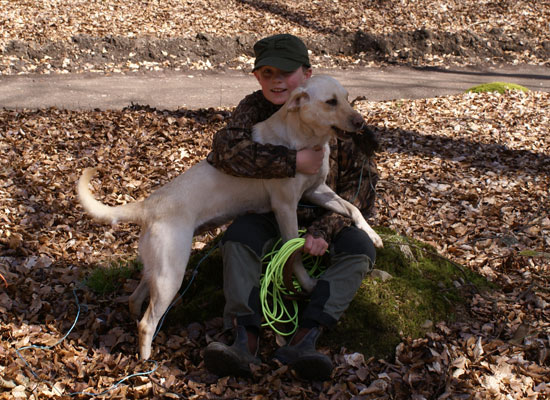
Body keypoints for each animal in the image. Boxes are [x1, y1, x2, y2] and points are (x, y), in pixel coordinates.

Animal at [78, 76, 384, 360]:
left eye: (347, 98)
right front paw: (307, 283)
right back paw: (146, 362)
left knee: (135, 299)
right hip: (171, 274)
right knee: (146, 323)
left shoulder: (318, 191)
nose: (361, 123)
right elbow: (294, 254)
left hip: (158, 270)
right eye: (331, 102)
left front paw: (371, 233)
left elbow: (353, 208)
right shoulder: (285, 206)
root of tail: (148, 204)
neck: (303, 137)